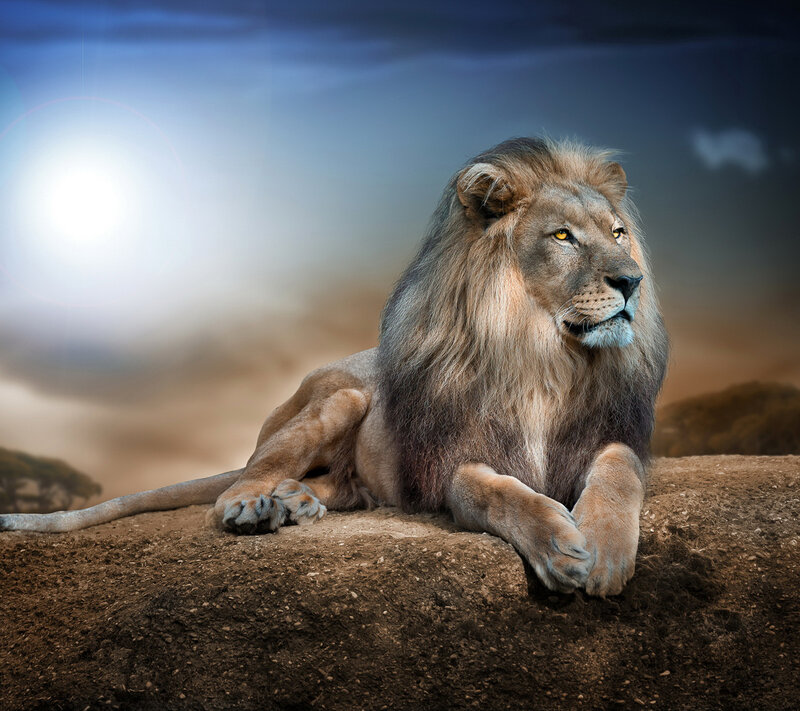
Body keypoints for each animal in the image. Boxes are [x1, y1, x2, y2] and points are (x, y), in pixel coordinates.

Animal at [0, 137, 668, 596]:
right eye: (562, 237)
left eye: (618, 232)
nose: (632, 281)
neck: (543, 358)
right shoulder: (451, 463)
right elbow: (497, 492)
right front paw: (560, 546)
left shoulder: (609, 434)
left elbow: (619, 471)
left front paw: (604, 551)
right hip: (340, 399)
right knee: (239, 483)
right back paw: (257, 506)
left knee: (333, 486)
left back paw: (296, 502)